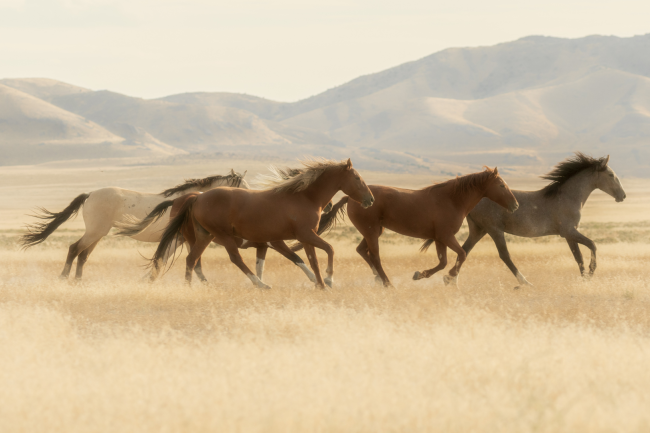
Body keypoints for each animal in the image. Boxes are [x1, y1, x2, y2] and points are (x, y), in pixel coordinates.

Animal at [19, 170, 249, 280]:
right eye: (242, 187)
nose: (248, 203)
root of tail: (90, 194)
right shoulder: (178, 239)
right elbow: (165, 259)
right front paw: (148, 279)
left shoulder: (180, 240)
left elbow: (168, 259)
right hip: (94, 232)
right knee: (74, 249)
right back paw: (64, 277)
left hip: (98, 234)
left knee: (83, 255)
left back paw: (77, 281)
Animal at [149, 158, 374, 288]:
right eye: (356, 177)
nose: (370, 200)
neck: (304, 197)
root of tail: (197, 197)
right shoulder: (304, 235)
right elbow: (328, 250)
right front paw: (328, 280)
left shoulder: (297, 239)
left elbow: (308, 260)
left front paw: (319, 284)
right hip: (222, 235)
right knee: (234, 259)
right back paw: (259, 284)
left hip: (205, 235)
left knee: (192, 260)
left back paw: (189, 288)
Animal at [301, 167, 518, 288]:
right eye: (501, 185)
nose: (515, 205)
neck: (451, 200)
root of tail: (353, 198)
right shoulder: (446, 236)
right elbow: (460, 256)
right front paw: (447, 278)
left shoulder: (439, 238)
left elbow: (443, 262)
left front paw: (421, 275)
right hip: (371, 232)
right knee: (374, 256)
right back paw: (387, 283)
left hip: (374, 231)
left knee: (361, 250)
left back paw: (378, 279)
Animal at [443, 153, 626, 288]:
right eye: (611, 175)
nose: (622, 196)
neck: (568, 197)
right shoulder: (569, 231)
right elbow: (592, 245)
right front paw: (590, 273)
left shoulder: (569, 235)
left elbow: (578, 257)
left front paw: (584, 279)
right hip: (494, 230)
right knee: (504, 255)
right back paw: (525, 283)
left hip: (478, 230)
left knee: (464, 251)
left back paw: (451, 281)